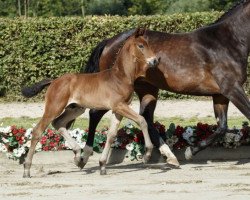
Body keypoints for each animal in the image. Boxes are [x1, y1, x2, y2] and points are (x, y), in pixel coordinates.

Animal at [21, 28, 160, 177]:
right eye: (141, 46)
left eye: (148, 44)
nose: (155, 60)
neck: (120, 77)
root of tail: (53, 81)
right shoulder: (120, 106)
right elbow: (142, 120)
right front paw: (147, 154)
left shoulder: (119, 109)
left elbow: (111, 135)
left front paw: (102, 165)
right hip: (54, 107)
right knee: (38, 130)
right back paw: (27, 169)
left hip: (75, 108)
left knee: (58, 123)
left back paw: (78, 156)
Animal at [82, 0, 250, 164]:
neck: (224, 43)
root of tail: (109, 42)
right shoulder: (232, 89)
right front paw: (189, 151)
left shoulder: (220, 94)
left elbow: (222, 127)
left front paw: (190, 151)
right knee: (95, 113)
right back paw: (84, 155)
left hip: (147, 88)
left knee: (145, 118)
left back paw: (167, 155)